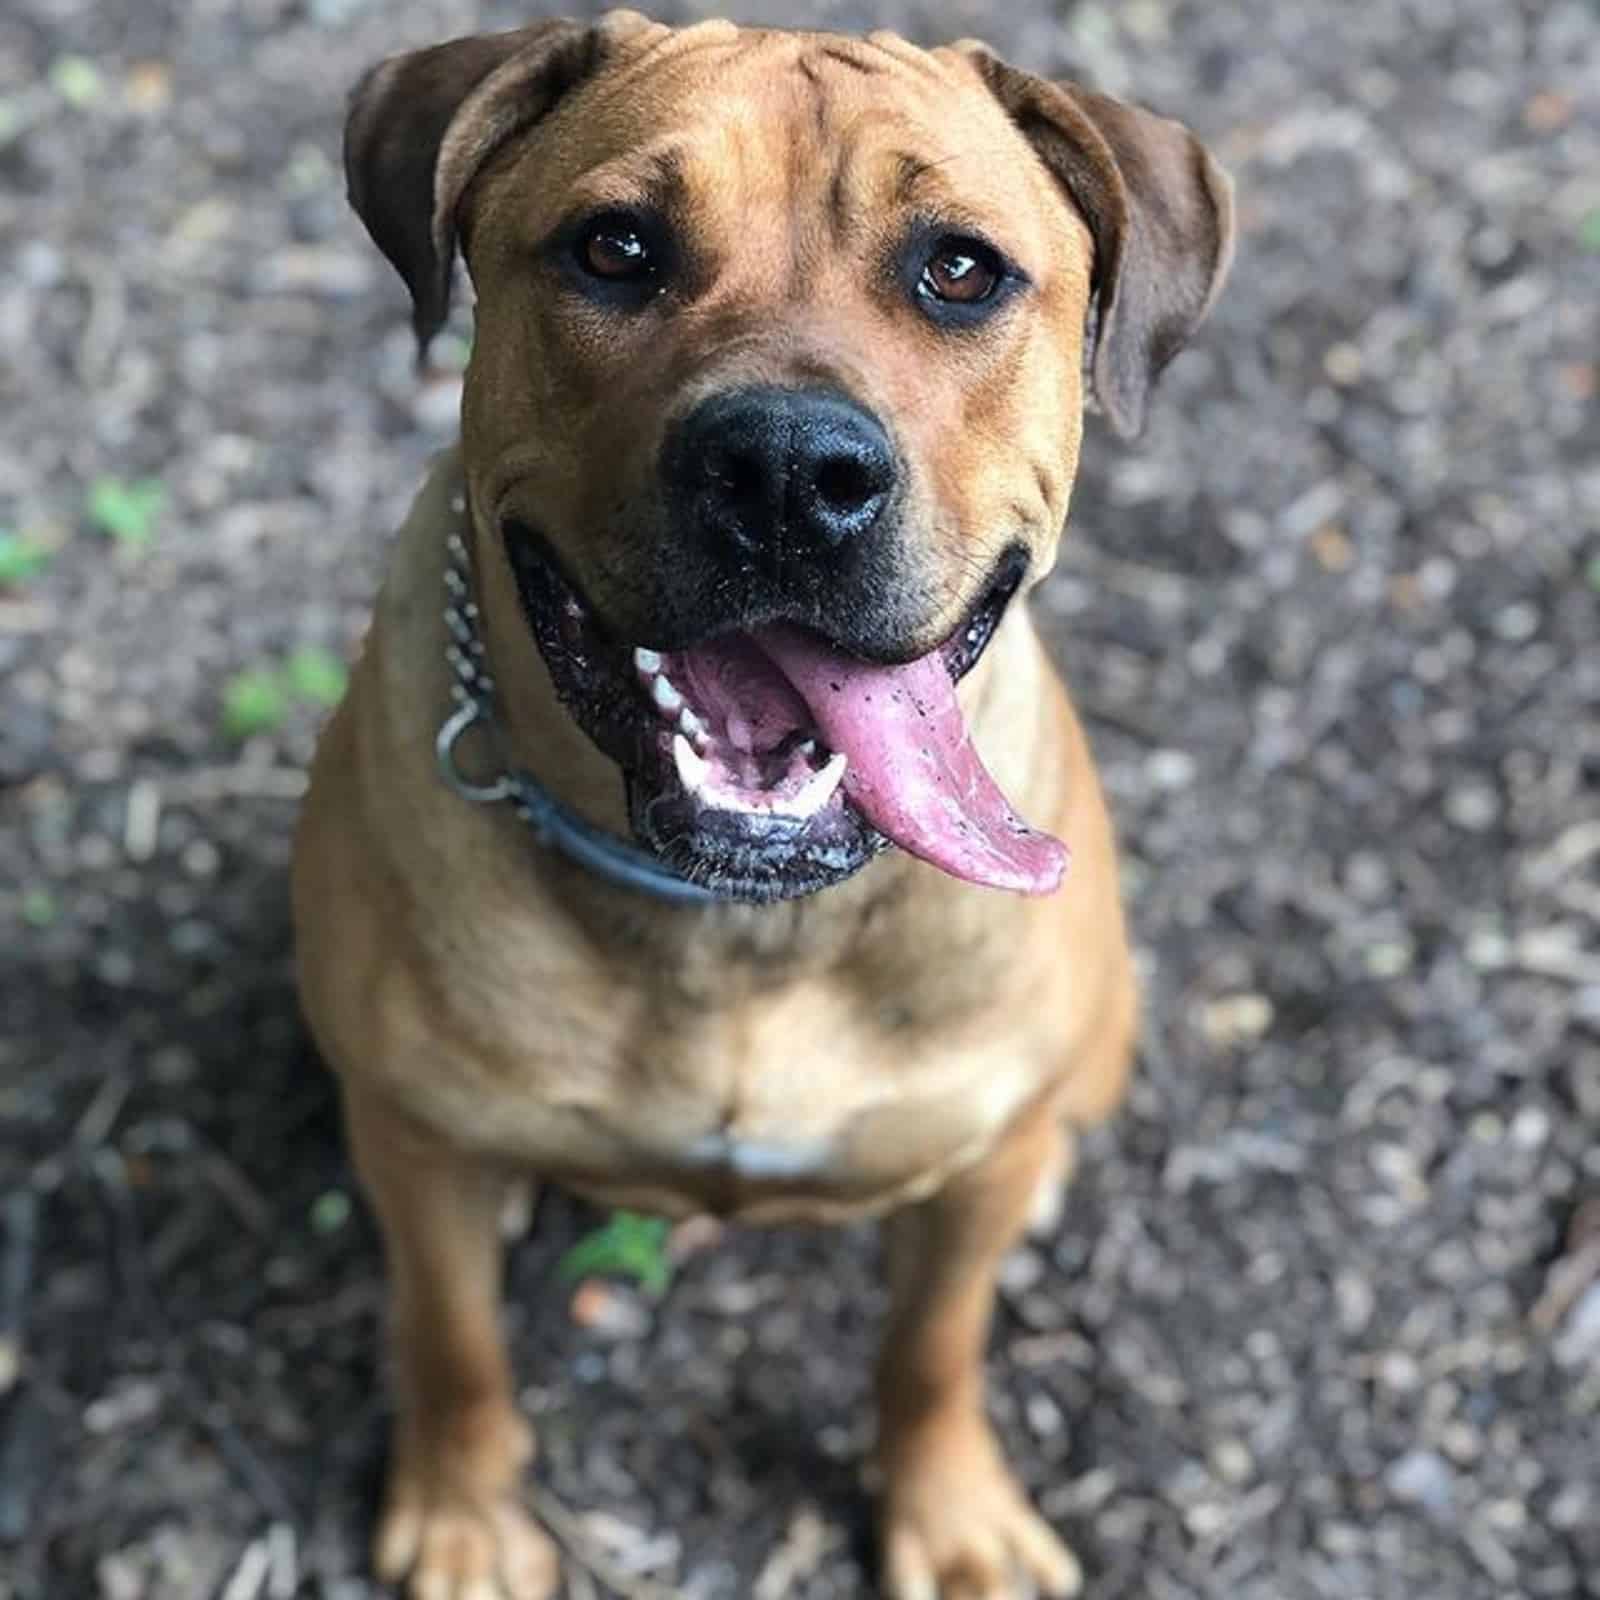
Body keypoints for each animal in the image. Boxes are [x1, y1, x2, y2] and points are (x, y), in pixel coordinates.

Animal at [291, 15, 1235, 1600]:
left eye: (960, 270)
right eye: (615, 248)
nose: (789, 469)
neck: (736, 922)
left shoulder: (966, 1190)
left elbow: (932, 1349)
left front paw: (950, 1517)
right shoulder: (414, 1145)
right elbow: (454, 1338)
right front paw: (467, 1515)